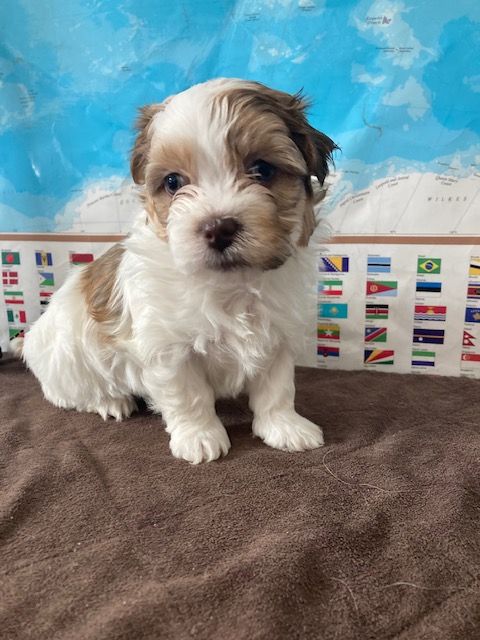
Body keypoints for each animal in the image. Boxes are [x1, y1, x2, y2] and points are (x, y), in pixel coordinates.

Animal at [13, 78, 336, 464]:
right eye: (173, 182)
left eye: (262, 170)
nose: (218, 228)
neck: (231, 284)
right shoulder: (168, 347)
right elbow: (188, 393)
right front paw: (200, 436)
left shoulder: (279, 336)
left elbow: (278, 388)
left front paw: (284, 426)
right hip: (69, 359)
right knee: (67, 392)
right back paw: (111, 401)